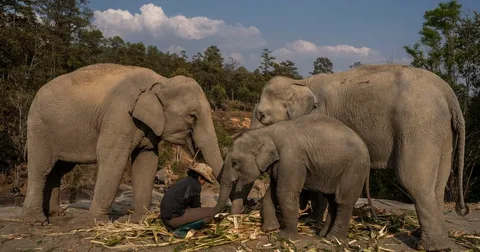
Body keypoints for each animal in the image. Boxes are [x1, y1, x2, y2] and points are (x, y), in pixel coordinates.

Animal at [23, 64, 240, 225]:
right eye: (192, 117)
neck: (161, 80)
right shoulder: (119, 117)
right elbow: (113, 159)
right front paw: (98, 224)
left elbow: (147, 159)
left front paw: (141, 220)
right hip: (39, 128)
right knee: (41, 169)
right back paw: (38, 221)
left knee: (59, 170)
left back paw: (56, 214)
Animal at [215, 113, 372, 240]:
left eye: (235, 163)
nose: (227, 219)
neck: (266, 132)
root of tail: (366, 150)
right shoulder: (279, 164)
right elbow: (271, 193)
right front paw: (270, 229)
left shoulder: (291, 159)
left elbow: (285, 193)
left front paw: (286, 237)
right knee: (332, 200)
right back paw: (322, 235)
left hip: (354, 170)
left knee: (343, 201)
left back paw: (334, 240)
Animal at [242, 64, 466, 251]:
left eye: (262, 116)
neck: (300, 82)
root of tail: (449, 94)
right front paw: (311, 219)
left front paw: (311, 220)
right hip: (442, 133)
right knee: (437, 186)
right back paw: (423, 236)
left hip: (418, 126)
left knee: (414, 182)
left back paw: (429, 247)